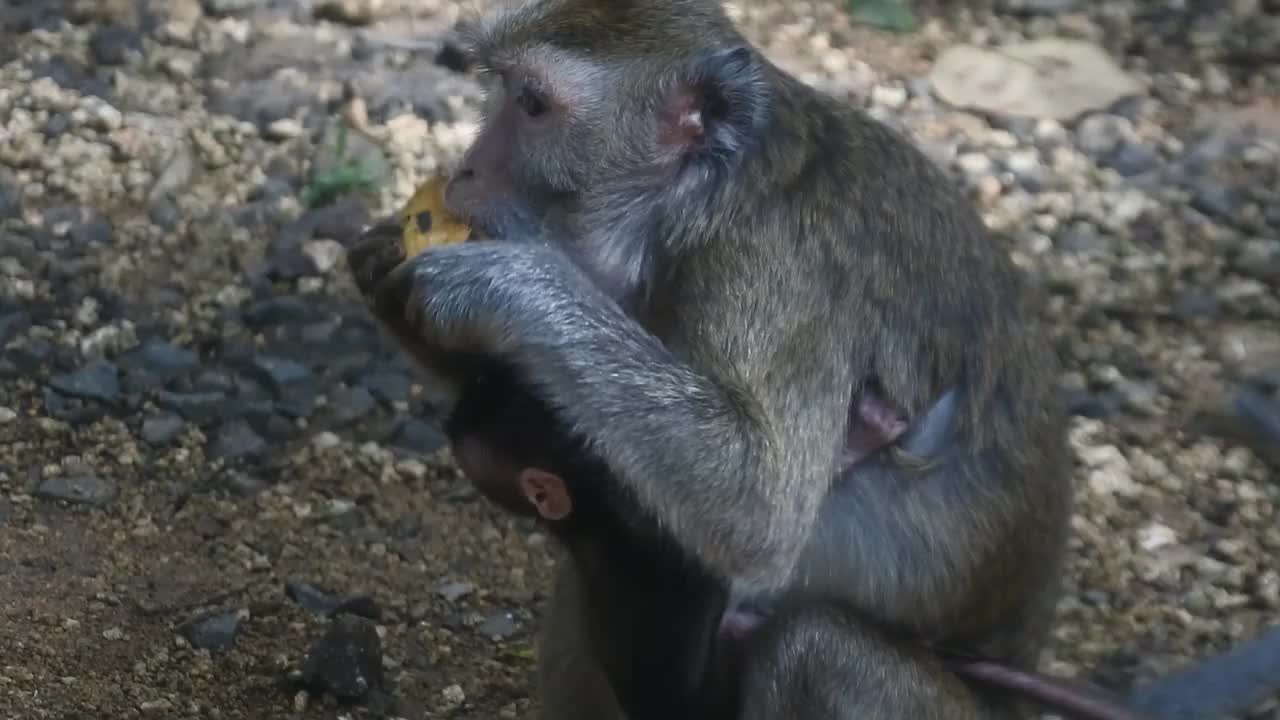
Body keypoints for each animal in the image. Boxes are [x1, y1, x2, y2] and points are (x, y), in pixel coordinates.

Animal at [348, 0, 1070, 712]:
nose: (466, 168)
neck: (702, 203)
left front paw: (500, 283)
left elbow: (759, 508)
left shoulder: (776, 273)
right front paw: (385, 268)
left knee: (813, 647)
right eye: (499, 91)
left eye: (531, 105)